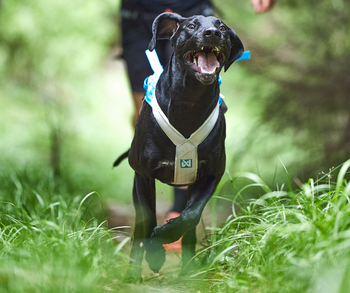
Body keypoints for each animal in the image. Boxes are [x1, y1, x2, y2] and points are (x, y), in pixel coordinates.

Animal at [114, 12, 243, 282]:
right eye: (191, 25)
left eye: (223, 28)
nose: (212, 34)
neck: (190, 102)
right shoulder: (144, 176)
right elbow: (148, 221)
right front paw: (154, 253)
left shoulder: (211, 174)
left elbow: (191, 216)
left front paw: (166, 236)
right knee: (140, 228)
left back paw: (186, 270)